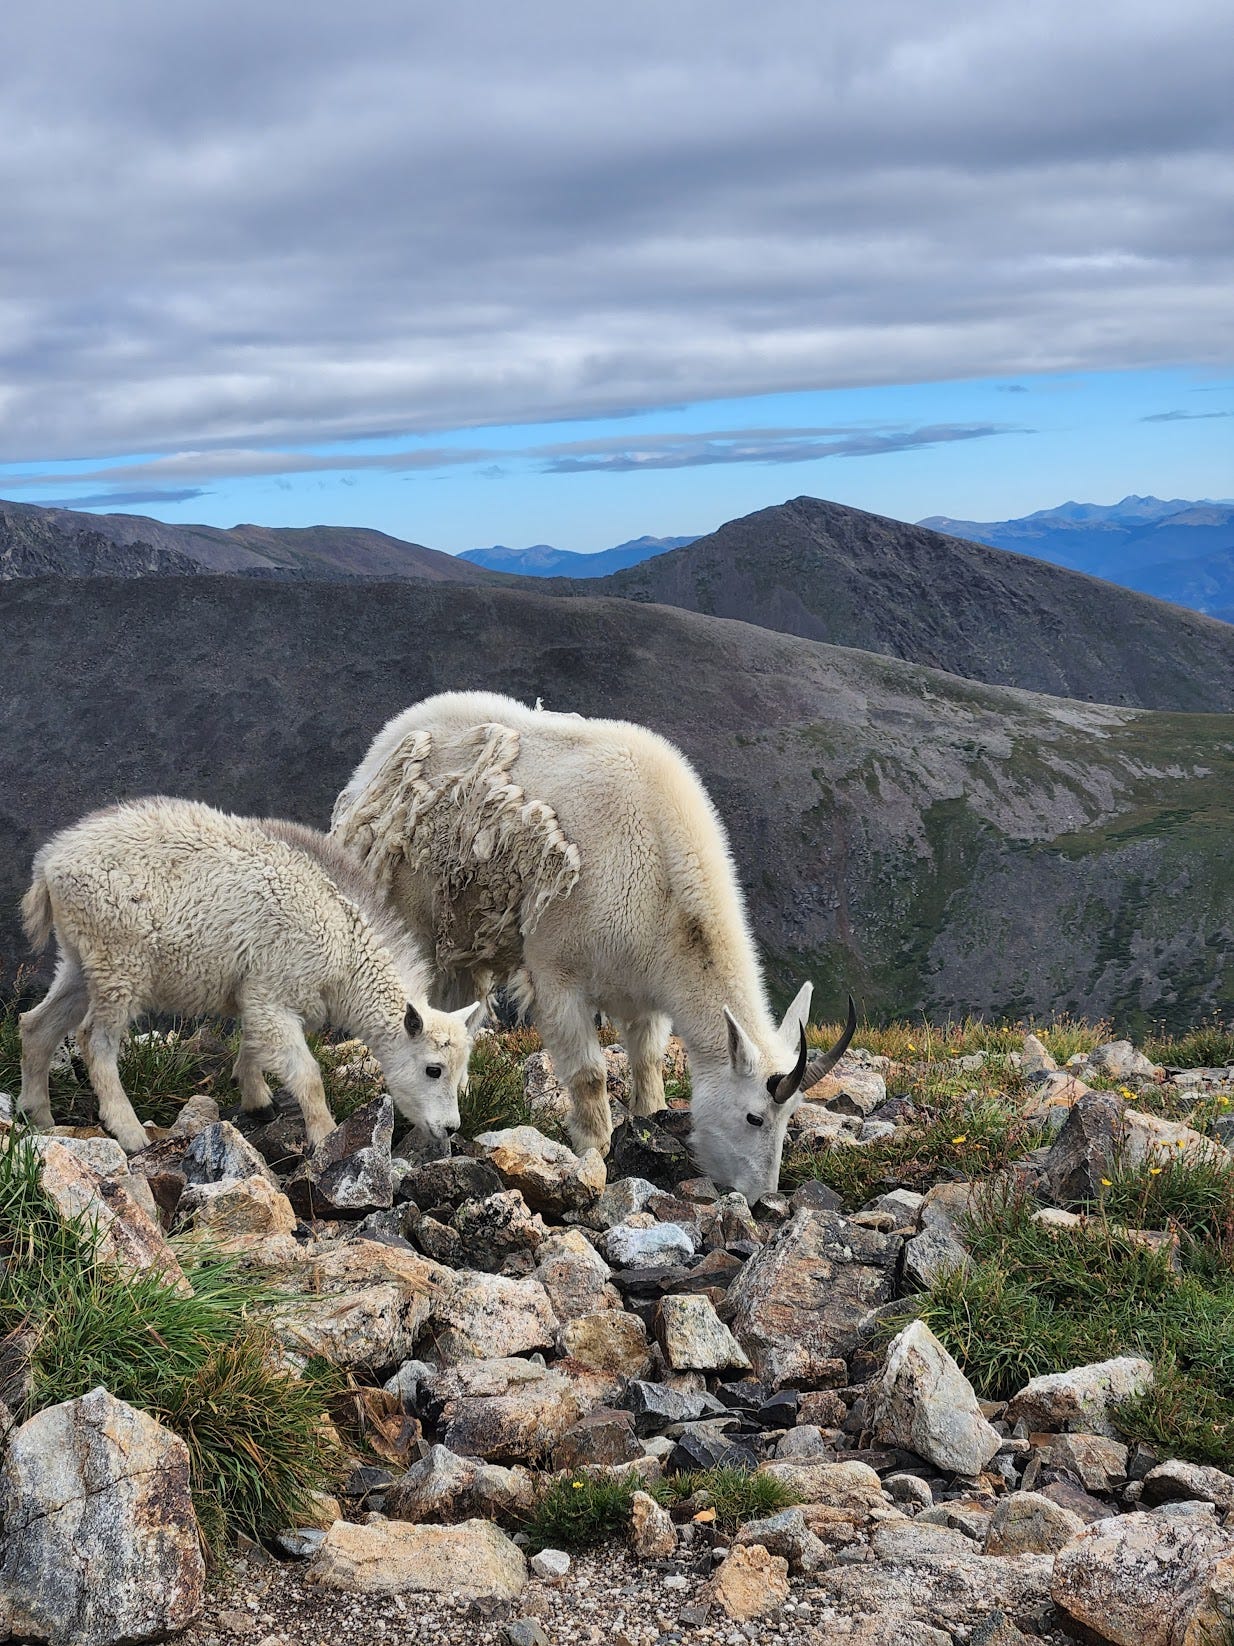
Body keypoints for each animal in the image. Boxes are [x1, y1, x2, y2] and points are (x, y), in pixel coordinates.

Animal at [18, 797, 482, 1154]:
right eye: (434, 1069)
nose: (449, 1129)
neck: (345, 949)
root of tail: (50, 863)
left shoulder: (259, 995)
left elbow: (254, 1045)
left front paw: (257, 1102)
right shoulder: (274, 994)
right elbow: (307, 1074)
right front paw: (325, 1135)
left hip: (82, 959)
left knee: (37, 1024)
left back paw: (38, 1116)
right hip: (120, 961)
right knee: (94, 1039)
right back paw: (129, 1131)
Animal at [332, 691, 853, 1202]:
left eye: (791, 1118)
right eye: (754, 1117)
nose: (762, 1197)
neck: (665, 884)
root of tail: (382, 747)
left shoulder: (645, 988)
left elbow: (647, 1059)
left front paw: (647, 1120)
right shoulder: (557, 973)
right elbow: (589, 1072)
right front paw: (593, 1146)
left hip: (466, 937)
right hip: (406, 907)